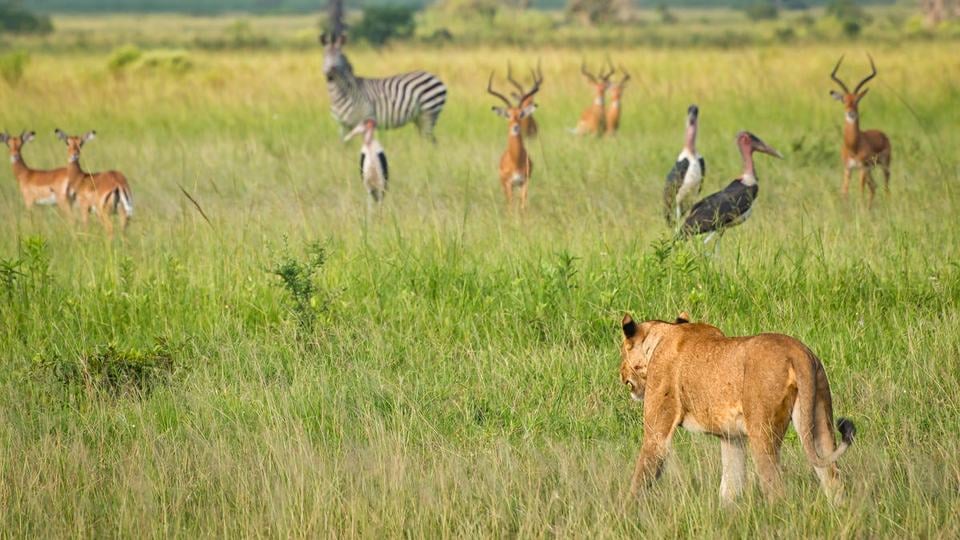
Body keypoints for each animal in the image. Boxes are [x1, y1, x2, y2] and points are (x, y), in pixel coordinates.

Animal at [619, 312, 855, 503]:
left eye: (622, 351)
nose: (620, 373)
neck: (663, 334)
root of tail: (797, 352)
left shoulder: (658, 430)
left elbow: (641, 475)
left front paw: (625, 514)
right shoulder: (732, 437)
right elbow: (730, 485)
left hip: (762, 432)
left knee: (776, 489)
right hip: (819, 421)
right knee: (832, 478)